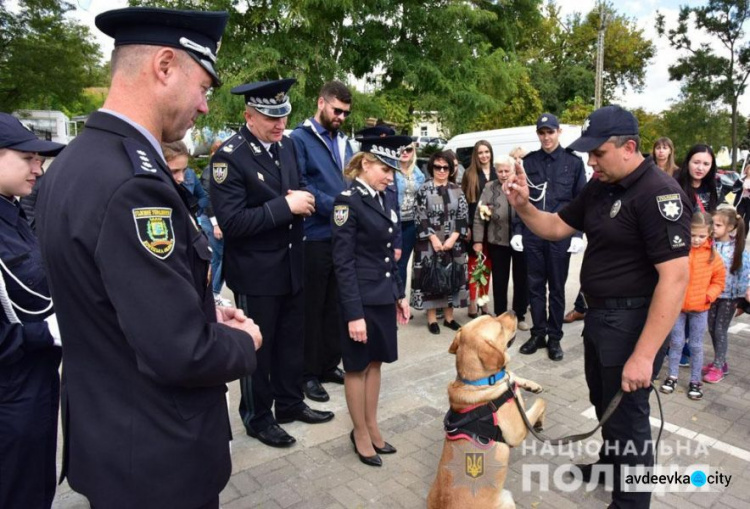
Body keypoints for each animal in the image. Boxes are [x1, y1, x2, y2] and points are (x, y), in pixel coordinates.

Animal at [428, 310, 548, 508]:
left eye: (493, 316)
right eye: (499, 326)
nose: (513, 311)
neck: (480, 381)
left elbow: (513, 376)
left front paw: (531, 385)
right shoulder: (517, 431)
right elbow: (540, 402)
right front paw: (539, 421)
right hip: (506, 498)